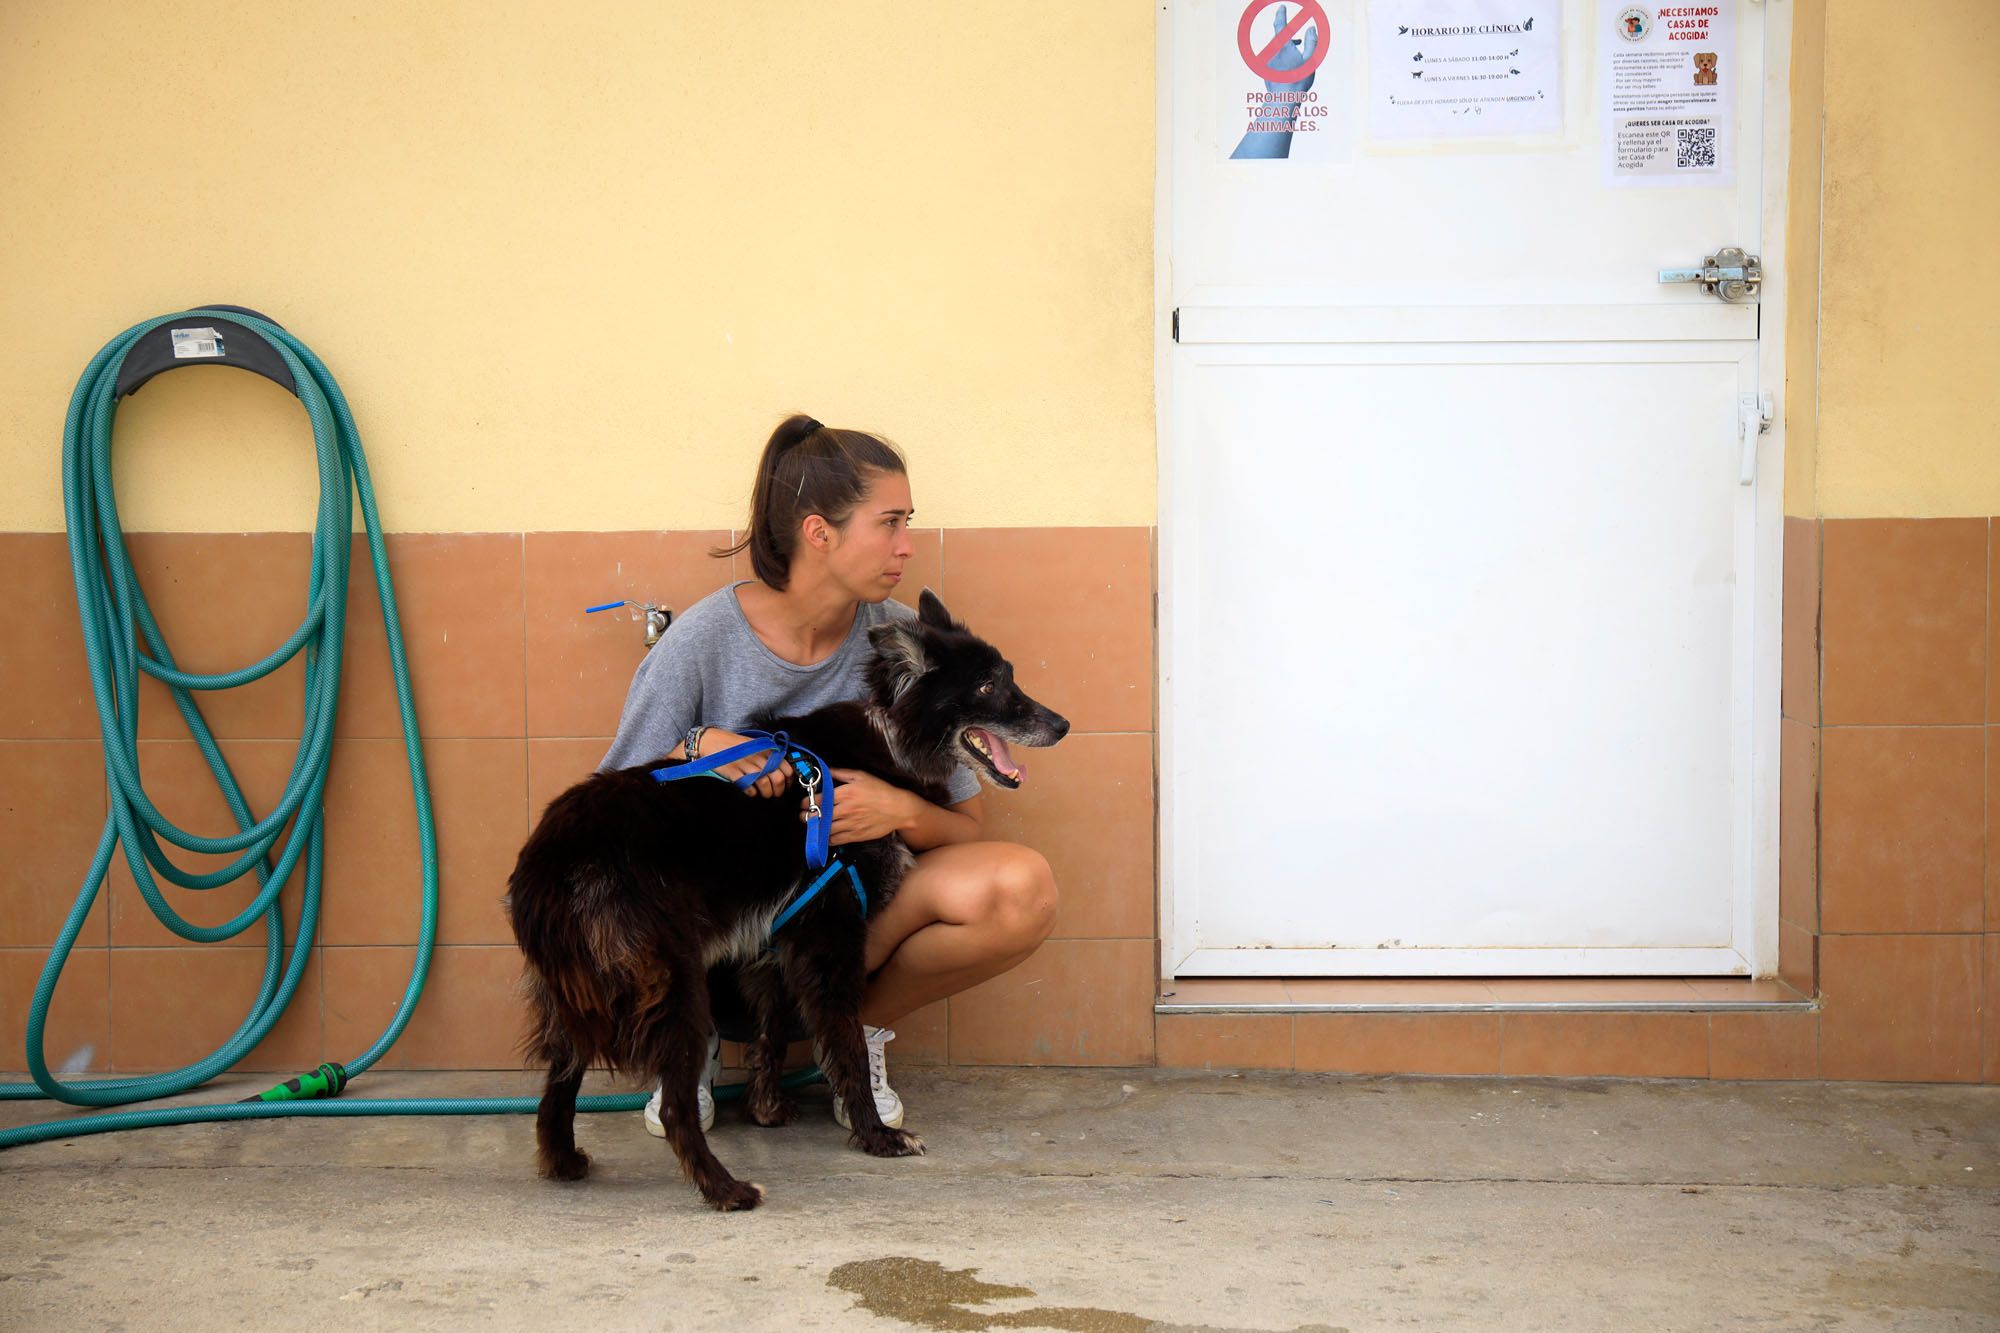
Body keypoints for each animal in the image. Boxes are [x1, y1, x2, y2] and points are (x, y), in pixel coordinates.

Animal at [504, 588, 1064, 1200]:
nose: (1063, 725)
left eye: (1008, 677)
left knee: (556, 1089)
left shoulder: (775, 941)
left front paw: (767, 1109)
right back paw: (725, 1190)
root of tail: (549, 861)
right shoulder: (830, 932)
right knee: (674, 1106)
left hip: (575, 991)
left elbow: (771, 1031)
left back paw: (564, 1161)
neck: (891, 739)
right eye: (986, 687)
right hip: (671, 978)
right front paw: (875, 1134)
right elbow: (844, 1041)